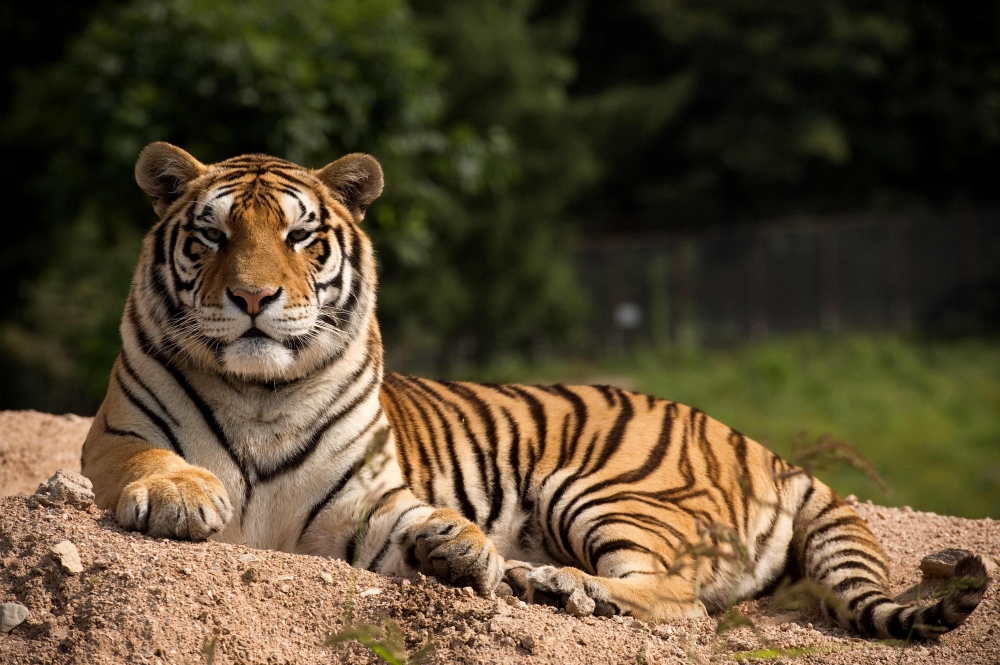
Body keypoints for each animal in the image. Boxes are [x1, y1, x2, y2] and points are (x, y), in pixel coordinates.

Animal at [81, 142, 989, 639]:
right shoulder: (115, 435)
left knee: (680, 598)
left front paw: (457, 548)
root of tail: (758, 445)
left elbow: (414, 521)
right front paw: (183, 496)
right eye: (212, 235)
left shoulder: (367, 498)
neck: (263, 392)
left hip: (606, 489)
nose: (254, 298)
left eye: (301, 237)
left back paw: (554, 582)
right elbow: (147, 461)